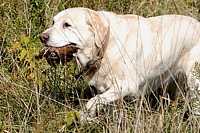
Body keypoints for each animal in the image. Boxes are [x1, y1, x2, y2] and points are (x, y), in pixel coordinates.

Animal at [39, 7, 200, 122]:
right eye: (53, 22)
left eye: (67, 25)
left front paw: (86, 116)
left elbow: (92, 101)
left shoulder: (126, 85)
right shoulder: (110, 92)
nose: (42, 37)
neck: (104, 47)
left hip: (194, 82)